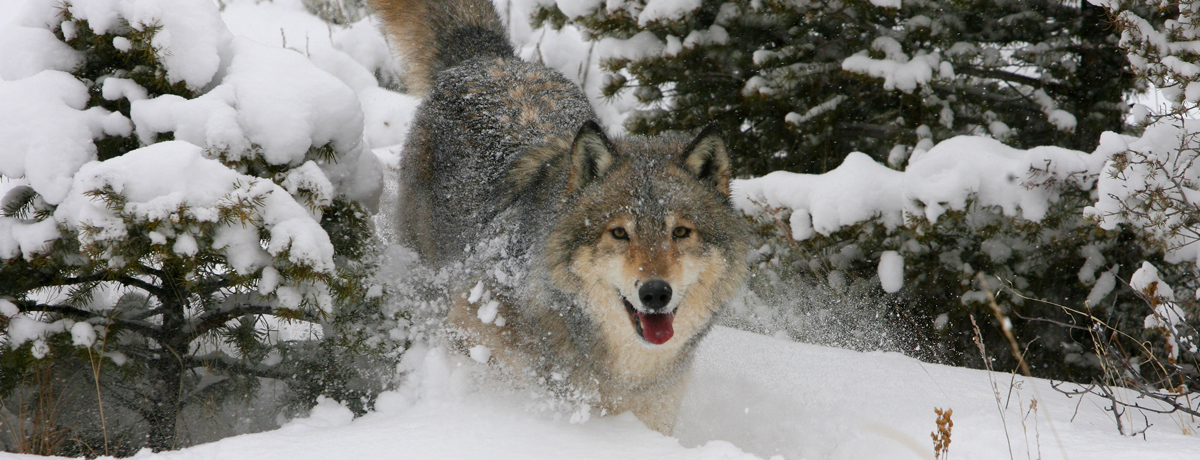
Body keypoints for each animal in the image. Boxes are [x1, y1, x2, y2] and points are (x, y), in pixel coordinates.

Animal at [374, 0, 748, 434]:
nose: (656, 293)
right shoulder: (467, 322)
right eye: (619, 233)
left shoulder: (653, 414)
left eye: (681, 232)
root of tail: (492, 58)